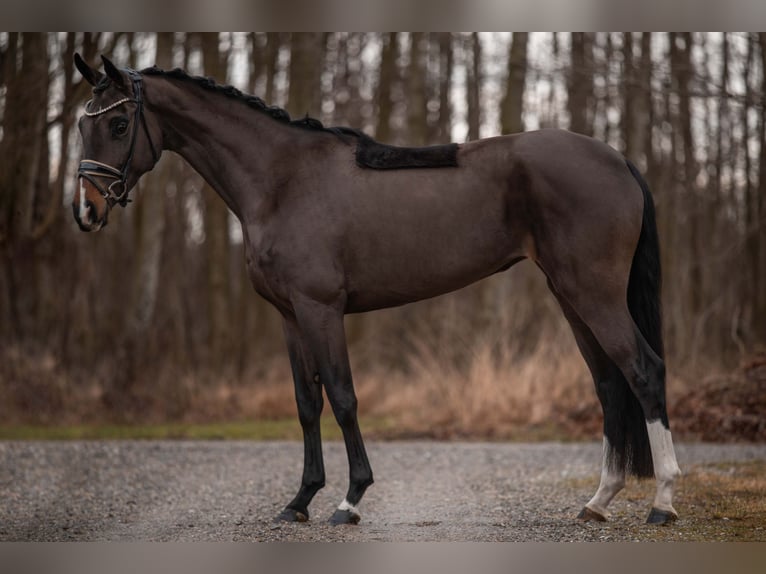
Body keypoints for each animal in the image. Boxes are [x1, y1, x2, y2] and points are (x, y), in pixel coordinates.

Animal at [73, 54, 684, 528]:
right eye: (82, 125)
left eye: (121, 123)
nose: (87, 210)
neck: (282, 180)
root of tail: (618, 159)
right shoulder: (290, 317)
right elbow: (306, 404)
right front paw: (299, 502)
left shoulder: (322, 310)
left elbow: (343, 398)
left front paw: (350, 501)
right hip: (569, 294)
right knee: (609, 384)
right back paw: (598, 501)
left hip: (593, 291)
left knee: (644, 371)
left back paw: (663, 502)